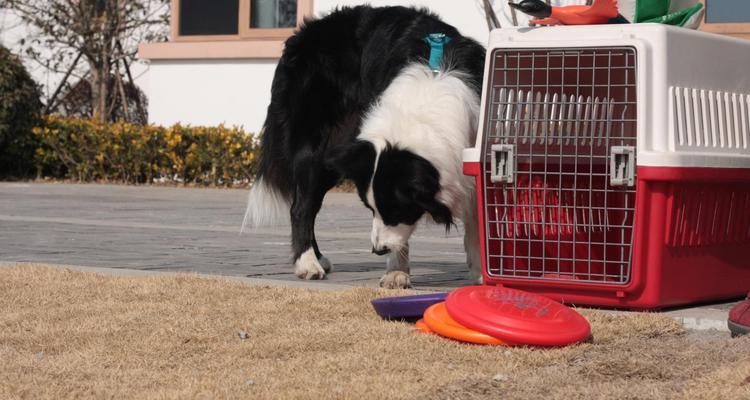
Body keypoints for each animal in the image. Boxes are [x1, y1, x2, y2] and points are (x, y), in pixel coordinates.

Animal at [242, 5, 488, 288]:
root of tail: (302, 33)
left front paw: (481, 273)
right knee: (301, 207)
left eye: (396, 210)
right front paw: (396, 271)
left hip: (341, 157)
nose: (378, 250)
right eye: (371, 209)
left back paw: (318, 257)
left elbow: (477, 219)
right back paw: (307, 263)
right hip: (314, 146)